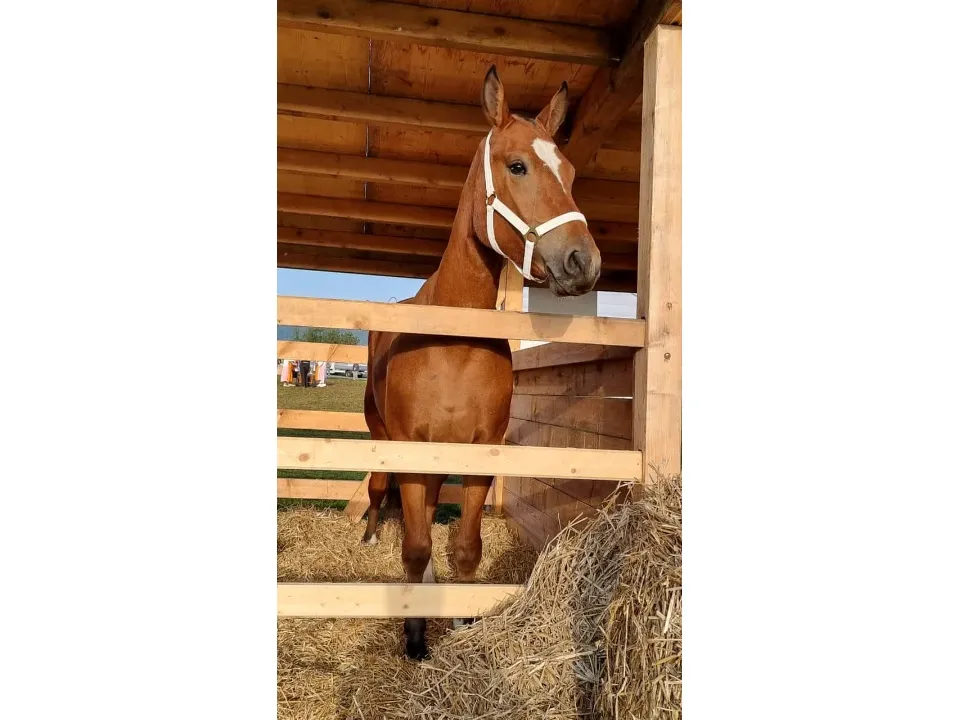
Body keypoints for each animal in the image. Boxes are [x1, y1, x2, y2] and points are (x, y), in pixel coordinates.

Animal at [362, 65, 602, 660]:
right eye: (516, 165)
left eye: (568, 171)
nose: (583, 261)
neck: (455, 345)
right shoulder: (410, 451)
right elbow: (417, 548)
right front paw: (415, 636)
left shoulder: (478, 453)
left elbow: (465, 549)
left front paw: (461, 625)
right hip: (381, 437)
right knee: (383, 497)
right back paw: (371, 534)